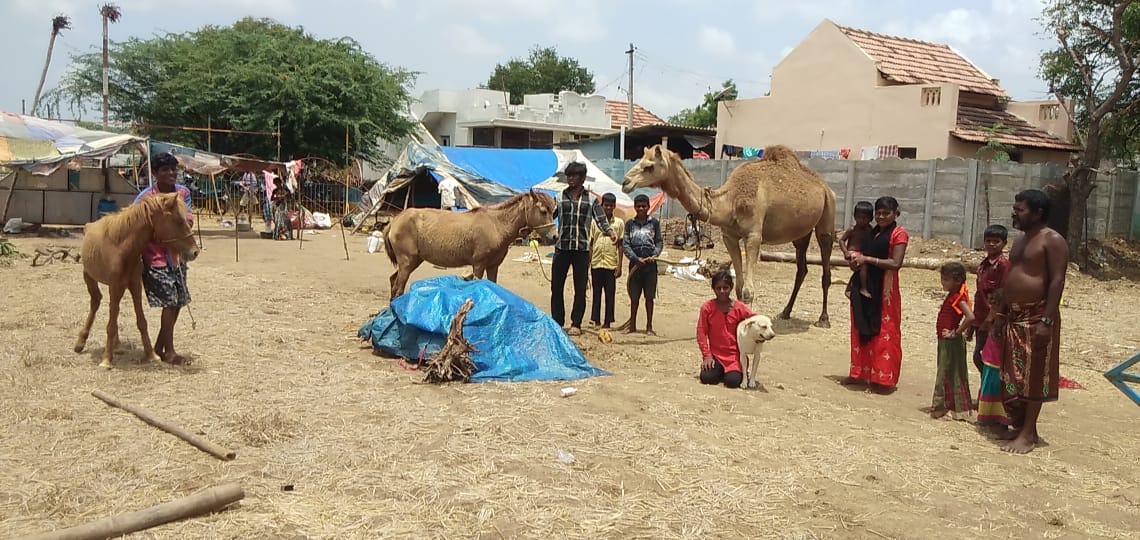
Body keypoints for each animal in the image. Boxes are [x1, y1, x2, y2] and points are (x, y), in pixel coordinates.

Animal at [73, 191, 200, 369]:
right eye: (179, 220)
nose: (195, 252)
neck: (121, 248)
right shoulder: (115, 286)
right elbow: (111, 324)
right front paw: (106, 360)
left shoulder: (134, 285)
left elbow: (140, 321)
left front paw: (152, 355)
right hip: (89, 278)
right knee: (96, 302)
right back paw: (81, 342)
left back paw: (117, 346)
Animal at [385, 190, 558, 298]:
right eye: (543, 211)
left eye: (554, 211)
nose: (555, 236)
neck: (497, 225)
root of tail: (395, 220)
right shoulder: (479, 265)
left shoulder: (493, 266)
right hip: (407, 262)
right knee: (398, 288)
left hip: (412, 262)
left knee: (393, 282)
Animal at [624, 143, 839, 325]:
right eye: (640, 160)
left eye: (649, 166)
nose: (626, 182)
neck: (731, 202)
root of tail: (824, 186)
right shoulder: (729, 237)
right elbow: (738, 286)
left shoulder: (753, 236)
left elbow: (748, 290)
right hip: (801, 232)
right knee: (801, 269)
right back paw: (785, 312)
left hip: (827, 216)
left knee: (826, 267)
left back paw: (824, 319)